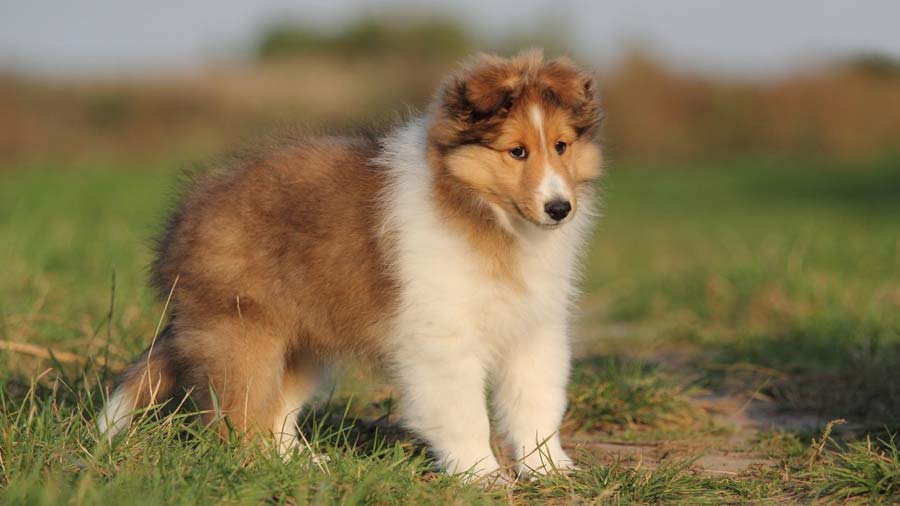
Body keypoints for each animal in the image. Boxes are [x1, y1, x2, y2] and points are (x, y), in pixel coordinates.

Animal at [98, 50, 604, 478]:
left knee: (275, 412)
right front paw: (480, 476)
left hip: (300, 340)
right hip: (243, 333)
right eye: (517, 151)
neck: (483, 215)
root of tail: (185, 220)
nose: (560, 209)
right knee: (238, 418)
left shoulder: (534, 329)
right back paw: (257, 470)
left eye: (561, 146)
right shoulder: (442, 339)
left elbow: (535, 401)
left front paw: (550, 470)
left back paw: (302, 465)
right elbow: (464, 412)